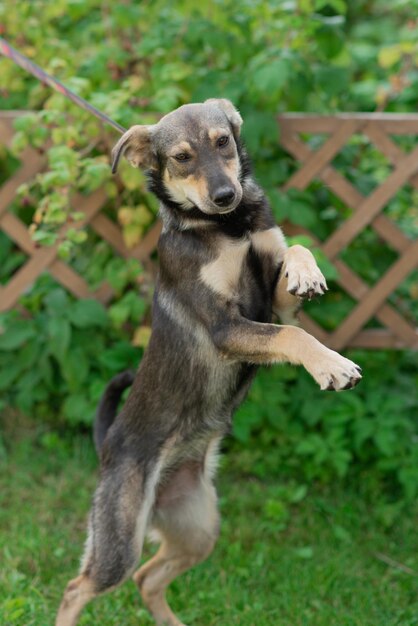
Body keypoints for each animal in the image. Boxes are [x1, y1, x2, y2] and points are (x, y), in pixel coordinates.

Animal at [56, 98, 362, 624]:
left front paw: (307, 272)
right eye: (181, 158)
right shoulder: (227, 326)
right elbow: (293, 336)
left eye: (223, 141)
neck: (227, 228)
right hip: (120, 539)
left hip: (198, 527)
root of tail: (107, 446)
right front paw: (332, 366)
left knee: (148, 578)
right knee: (78, 587)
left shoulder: (271, 299)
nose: (225, 195)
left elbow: (295, 253)